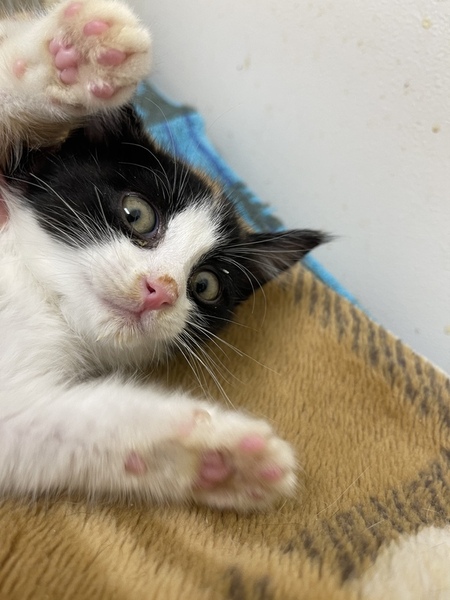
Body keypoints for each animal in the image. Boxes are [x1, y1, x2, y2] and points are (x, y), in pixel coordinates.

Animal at [0, 0, 326, 511]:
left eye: (205, 285)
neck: (42, 299)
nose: (160, 291)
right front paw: (78, 53)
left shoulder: (15, 409)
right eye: (137, 214)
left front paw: (220, 458)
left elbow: (52, 429)